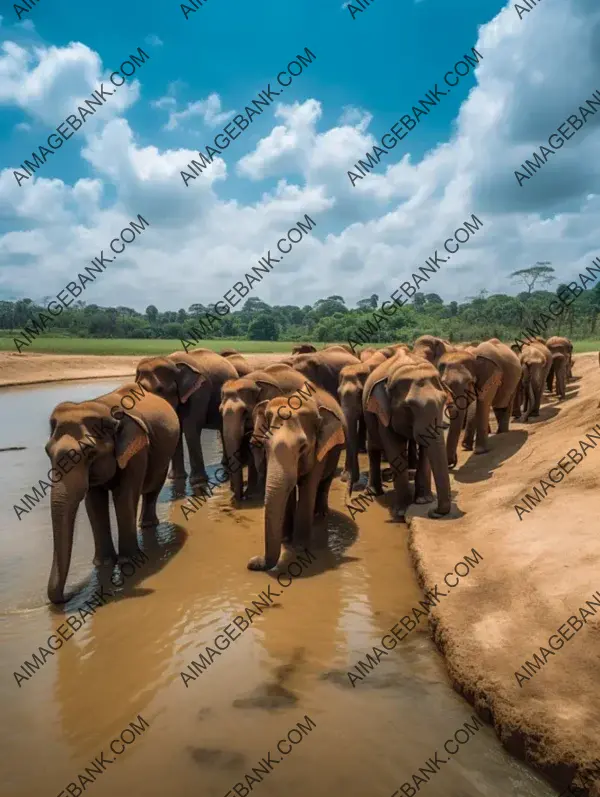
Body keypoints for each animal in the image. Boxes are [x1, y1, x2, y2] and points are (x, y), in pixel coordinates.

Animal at [46, 382, 179, 600]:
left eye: (90, 453)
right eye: (47, 452)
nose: (70, 595)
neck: (102, 408)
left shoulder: (138, 451)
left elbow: (124, 496)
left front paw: (128, 561)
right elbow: (94, 503)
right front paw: (104, 564)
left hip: (165, 453)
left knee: (152, 487)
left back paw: (148, 525)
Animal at [135, 348, 237, 486]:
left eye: (160, 389)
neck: (172, 362)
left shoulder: (199, 392)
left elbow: (191, 428)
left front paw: (197, 481)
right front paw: (176, 478)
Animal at [219, 366, 314, 498]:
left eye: (244, 412)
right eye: (220, 411)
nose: (238, 495)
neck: (250, 380)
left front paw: (254, 494)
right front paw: (250, 493)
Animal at [246, 388, 346, 568]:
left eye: (303, 447)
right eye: (265, 445)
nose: (252, 563)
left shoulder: (319, 451)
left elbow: (308, 487)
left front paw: (300, 547)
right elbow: (289, 491)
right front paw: (285, 540)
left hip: (335, 450)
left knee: (325, 482)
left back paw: (320, 514)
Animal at [360, 352, 450, 520]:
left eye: (443, 401)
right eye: (409, 407)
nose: (433, 512)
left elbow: (425, 449)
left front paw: (423, 501)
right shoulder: (384, 414)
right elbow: (394, 448)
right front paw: (400, 512)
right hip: (368, 412)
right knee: (373, 446)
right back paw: (373, 492)